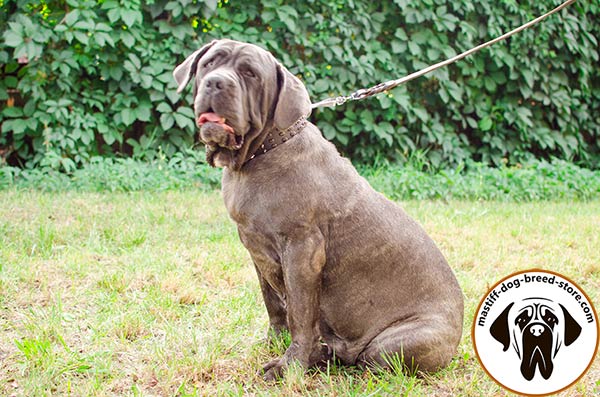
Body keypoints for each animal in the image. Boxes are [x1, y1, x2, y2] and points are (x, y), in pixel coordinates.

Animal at [173, 38, 464, 378]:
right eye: (209, 63)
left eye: (250, 74)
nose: (216, 82)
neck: (258, 154)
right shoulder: (257, 251)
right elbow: (273, 303)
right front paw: (274, 342)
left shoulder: (303, 250)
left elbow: (300, 313)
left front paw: (289, 366)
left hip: (396, 343)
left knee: (368, 359)